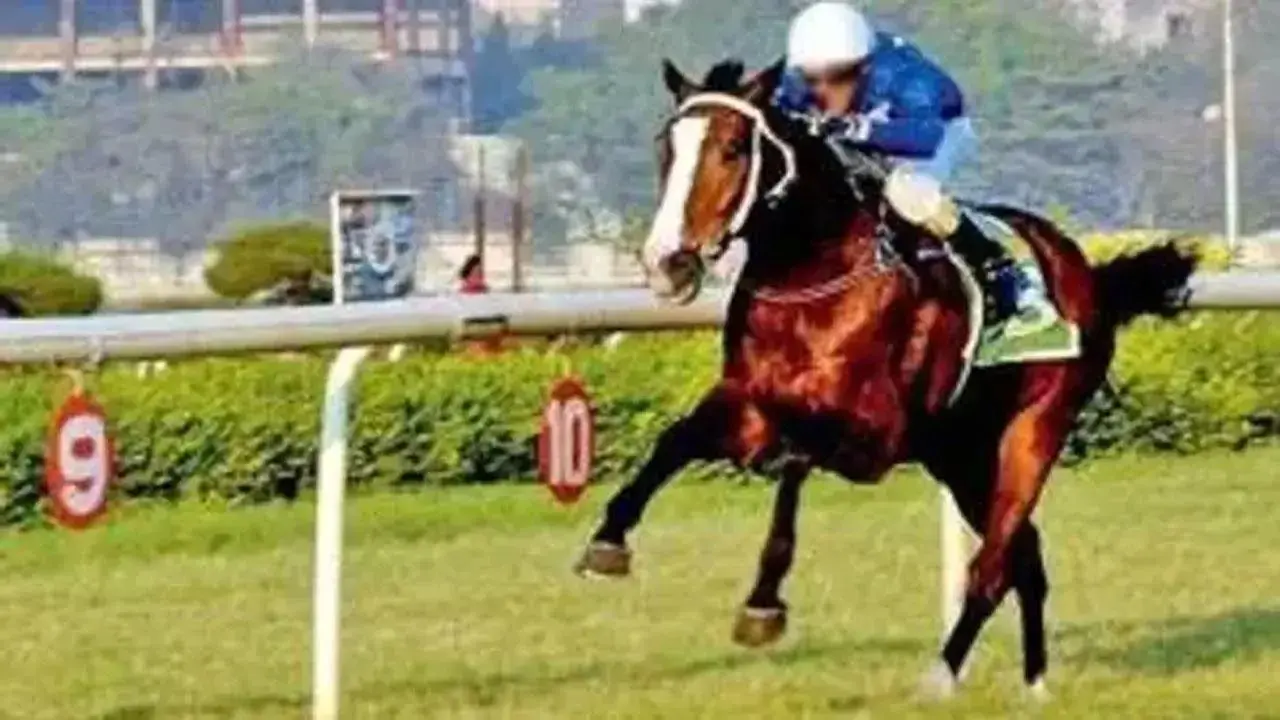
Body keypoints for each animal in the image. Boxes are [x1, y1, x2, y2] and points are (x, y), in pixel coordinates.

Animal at [573, 58, 1198, 698]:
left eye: (731, 149)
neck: (811, 277)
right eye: (665, 148)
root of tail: (1085, 271)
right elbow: (676, 440)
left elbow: (795, 461)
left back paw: (942, 675)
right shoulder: (752, 405)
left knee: (994, 562)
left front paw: (763, 604)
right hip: (960, 452)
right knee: (1026, 553)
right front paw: (608, 538)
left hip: (1035, 429)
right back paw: (1034, 685)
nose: (667, 265)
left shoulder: (874, 438)